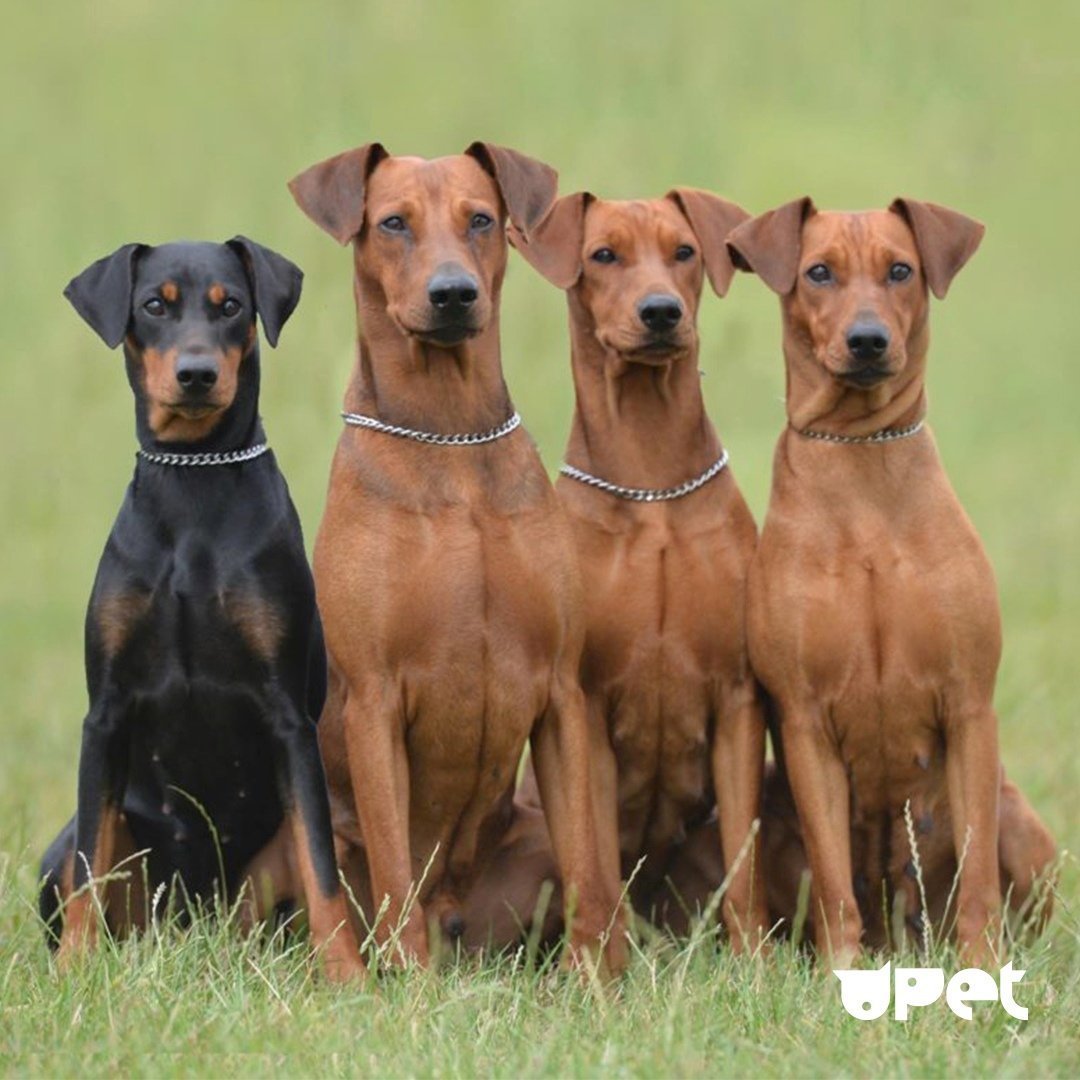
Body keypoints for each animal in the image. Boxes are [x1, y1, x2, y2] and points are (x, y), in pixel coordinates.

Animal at [39, 236, 365, 980]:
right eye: (154, 305)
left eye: (232, 306)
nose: (195, 375)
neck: (193, 486)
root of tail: (192, 921)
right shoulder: (105, 714)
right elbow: (88, 867)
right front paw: (72, 970)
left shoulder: (289, 719)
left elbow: (323, 869)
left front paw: (347, 974)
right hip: (72, 852)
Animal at [289, 139, 626, 976]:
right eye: (393, 223)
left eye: (480, 220)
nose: (453, 295)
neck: (450, 441)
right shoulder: (374, 700)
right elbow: (392, 874)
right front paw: (409, 992)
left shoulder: (561, 694)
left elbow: (588, 872)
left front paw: (593, 988)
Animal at [511, 192, 768, 946]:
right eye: (603, 255)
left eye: (684, 252)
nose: (661, 312)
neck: (651, 484)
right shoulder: (587, 704)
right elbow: (593, 862)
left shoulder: (738, 698)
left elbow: (745, 871)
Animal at [725, 198, 1054, 967]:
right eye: (818, 272)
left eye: (900, 270)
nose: (868, 340)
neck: (860, 459)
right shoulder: (805, 721)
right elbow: (835, 887)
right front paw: (840, 975)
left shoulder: (968, 706)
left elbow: (977, 880)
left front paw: (981, 970)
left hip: (1019, 820)